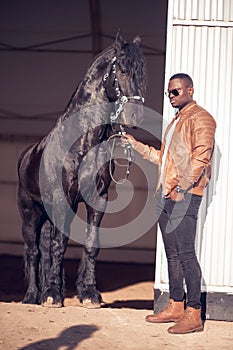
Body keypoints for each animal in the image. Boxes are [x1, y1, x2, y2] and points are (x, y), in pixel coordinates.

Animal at [17, 31, 146, 308]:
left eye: (143, 72)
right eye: (121, 69)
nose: (135, 116)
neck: (83, 142)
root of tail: (26, 155)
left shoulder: (97, 200)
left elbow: (90, 244)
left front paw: (89, 294)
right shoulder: (62, 199)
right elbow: (58, 245)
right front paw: (53, 295)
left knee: (43, 251)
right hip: (30, 214)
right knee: (32, 251)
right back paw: (32, 296)